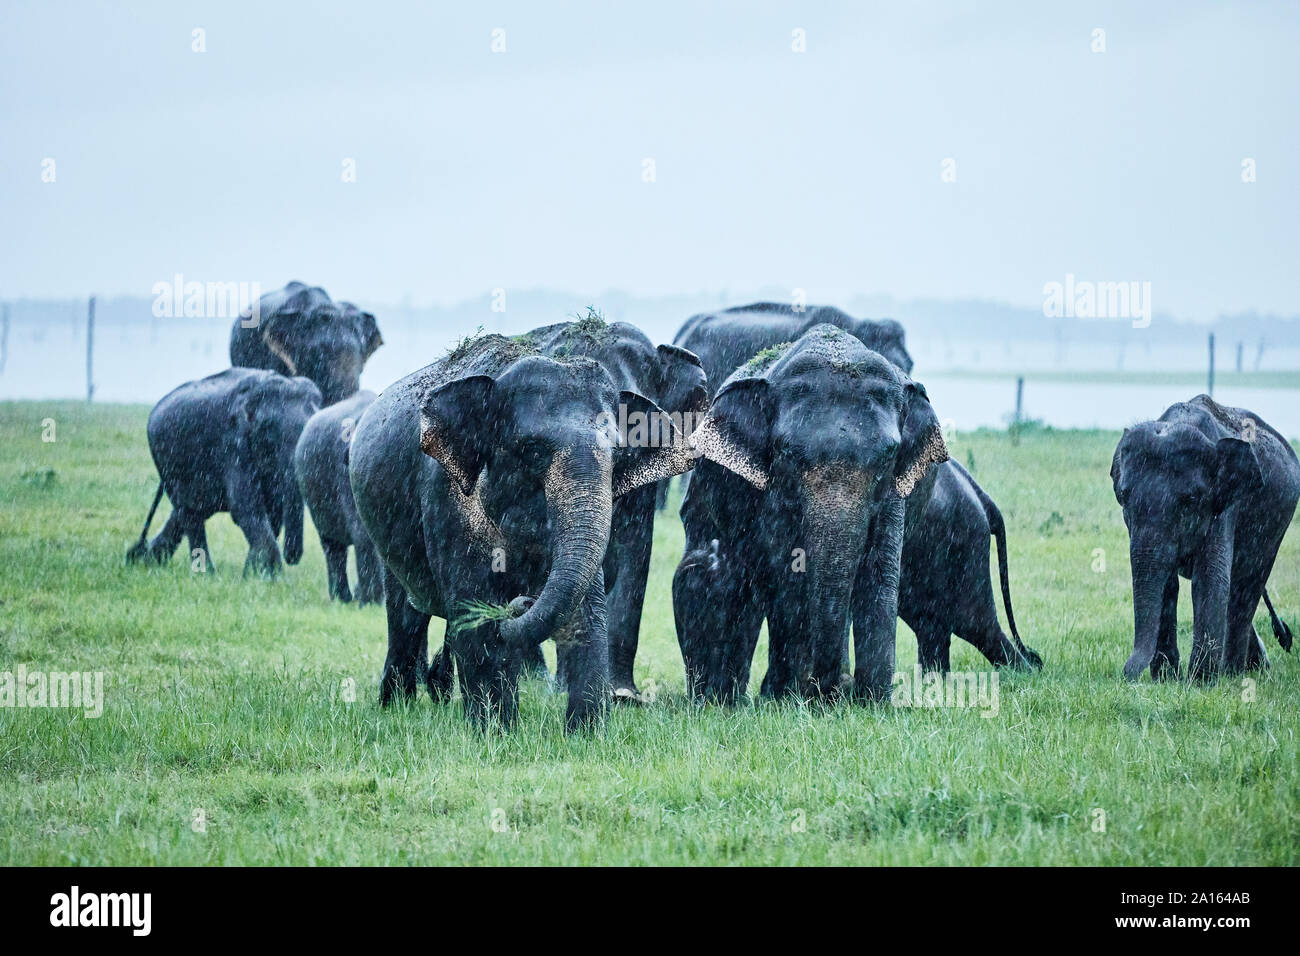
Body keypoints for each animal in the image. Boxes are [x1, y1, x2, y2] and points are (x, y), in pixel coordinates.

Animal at [125, 366, 323, 574]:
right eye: (268, 432)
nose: (291, 557)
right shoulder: (232, 445)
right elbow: (245, 506)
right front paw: (267, 576)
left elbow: (273, 508)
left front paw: (254, 574)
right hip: (165, 458)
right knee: (190, 513)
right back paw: (204, 574)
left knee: (190, 510)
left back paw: (143, 560)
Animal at [343, 329, 691, 733]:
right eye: (534, 451)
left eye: (618, 456)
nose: (521, 600)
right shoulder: (446, 497)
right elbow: (474, 608)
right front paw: (495, 732)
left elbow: (586, 612)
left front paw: (585, 734)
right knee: (405, 611)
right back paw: (396, 705)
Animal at [1107, 395, 1300, 681]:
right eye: (1124, 496)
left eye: (1190, 500)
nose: (1127, 676)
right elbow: (1167, 582)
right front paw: (1166, 679)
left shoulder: (1224, 504)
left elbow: (1210, 577)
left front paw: (1199, 683)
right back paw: (1254, 667)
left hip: (1278, 519)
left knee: (1245, 586)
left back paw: (1232, 673)